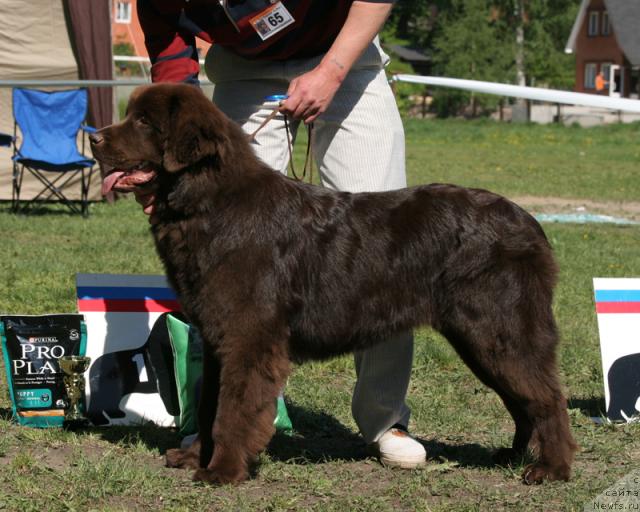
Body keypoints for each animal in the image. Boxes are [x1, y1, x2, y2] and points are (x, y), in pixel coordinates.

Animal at [89, 83, 576, 484]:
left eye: (144, 122)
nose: (93, 138)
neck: (211, 203)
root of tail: (530, 223)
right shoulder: (215, 337)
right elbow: (209, 403)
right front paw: (194, 458)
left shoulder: (249, 338)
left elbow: (233, 408)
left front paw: (221, 471)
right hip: (479, 339)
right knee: (523, 399)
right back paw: (513, 456)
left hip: (497, 330)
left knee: (548, 397)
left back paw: (550, 469)